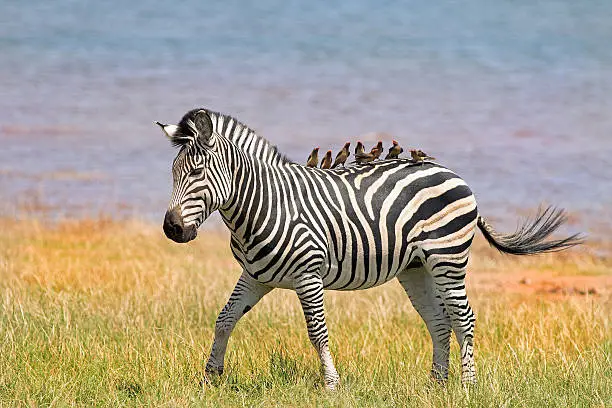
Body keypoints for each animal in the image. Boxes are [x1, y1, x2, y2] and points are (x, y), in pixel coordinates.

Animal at [155, 108, 580, 388]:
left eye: (196, 172)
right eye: (173, 173)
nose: (172, 229)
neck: (265, 204)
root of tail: (451, 173)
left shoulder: (308, 274)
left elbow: (317, 332)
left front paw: (331, 385)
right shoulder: (256, 276)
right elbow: (224, 318)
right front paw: (211, 377)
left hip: (448, 258)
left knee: (465, 318)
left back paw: (468, 386)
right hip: (416, 268)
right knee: (439, 321)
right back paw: (437, 385)